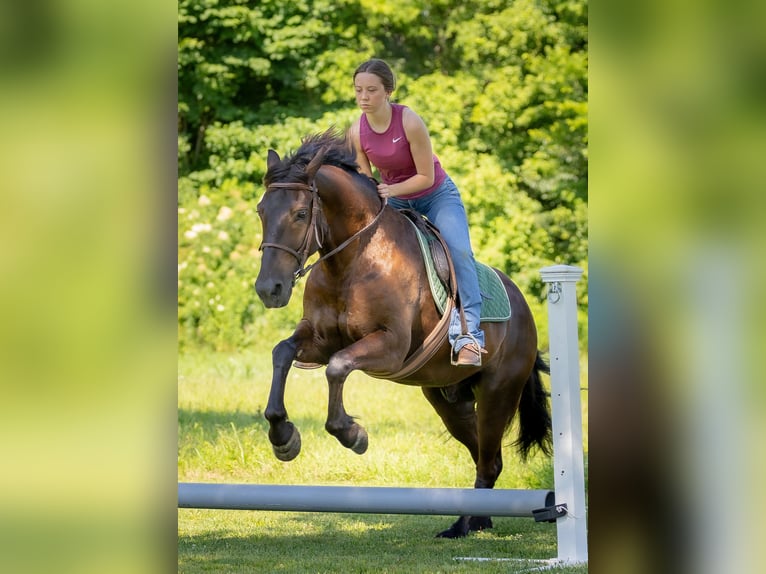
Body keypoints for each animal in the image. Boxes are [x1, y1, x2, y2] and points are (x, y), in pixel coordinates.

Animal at [256, 130, 552, 540]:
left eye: (300, 214)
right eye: (261, 211)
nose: (269, 289)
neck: (351, 260)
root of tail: (523, 309)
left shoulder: (390, 346)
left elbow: (338, 366)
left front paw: (352, 434)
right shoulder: (316, 339)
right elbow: (282, 353)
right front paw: (283, 437)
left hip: (498, 393)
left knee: (488, 458)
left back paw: (468, 523)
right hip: (449, 400)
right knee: (486, 457)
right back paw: (473, 521)